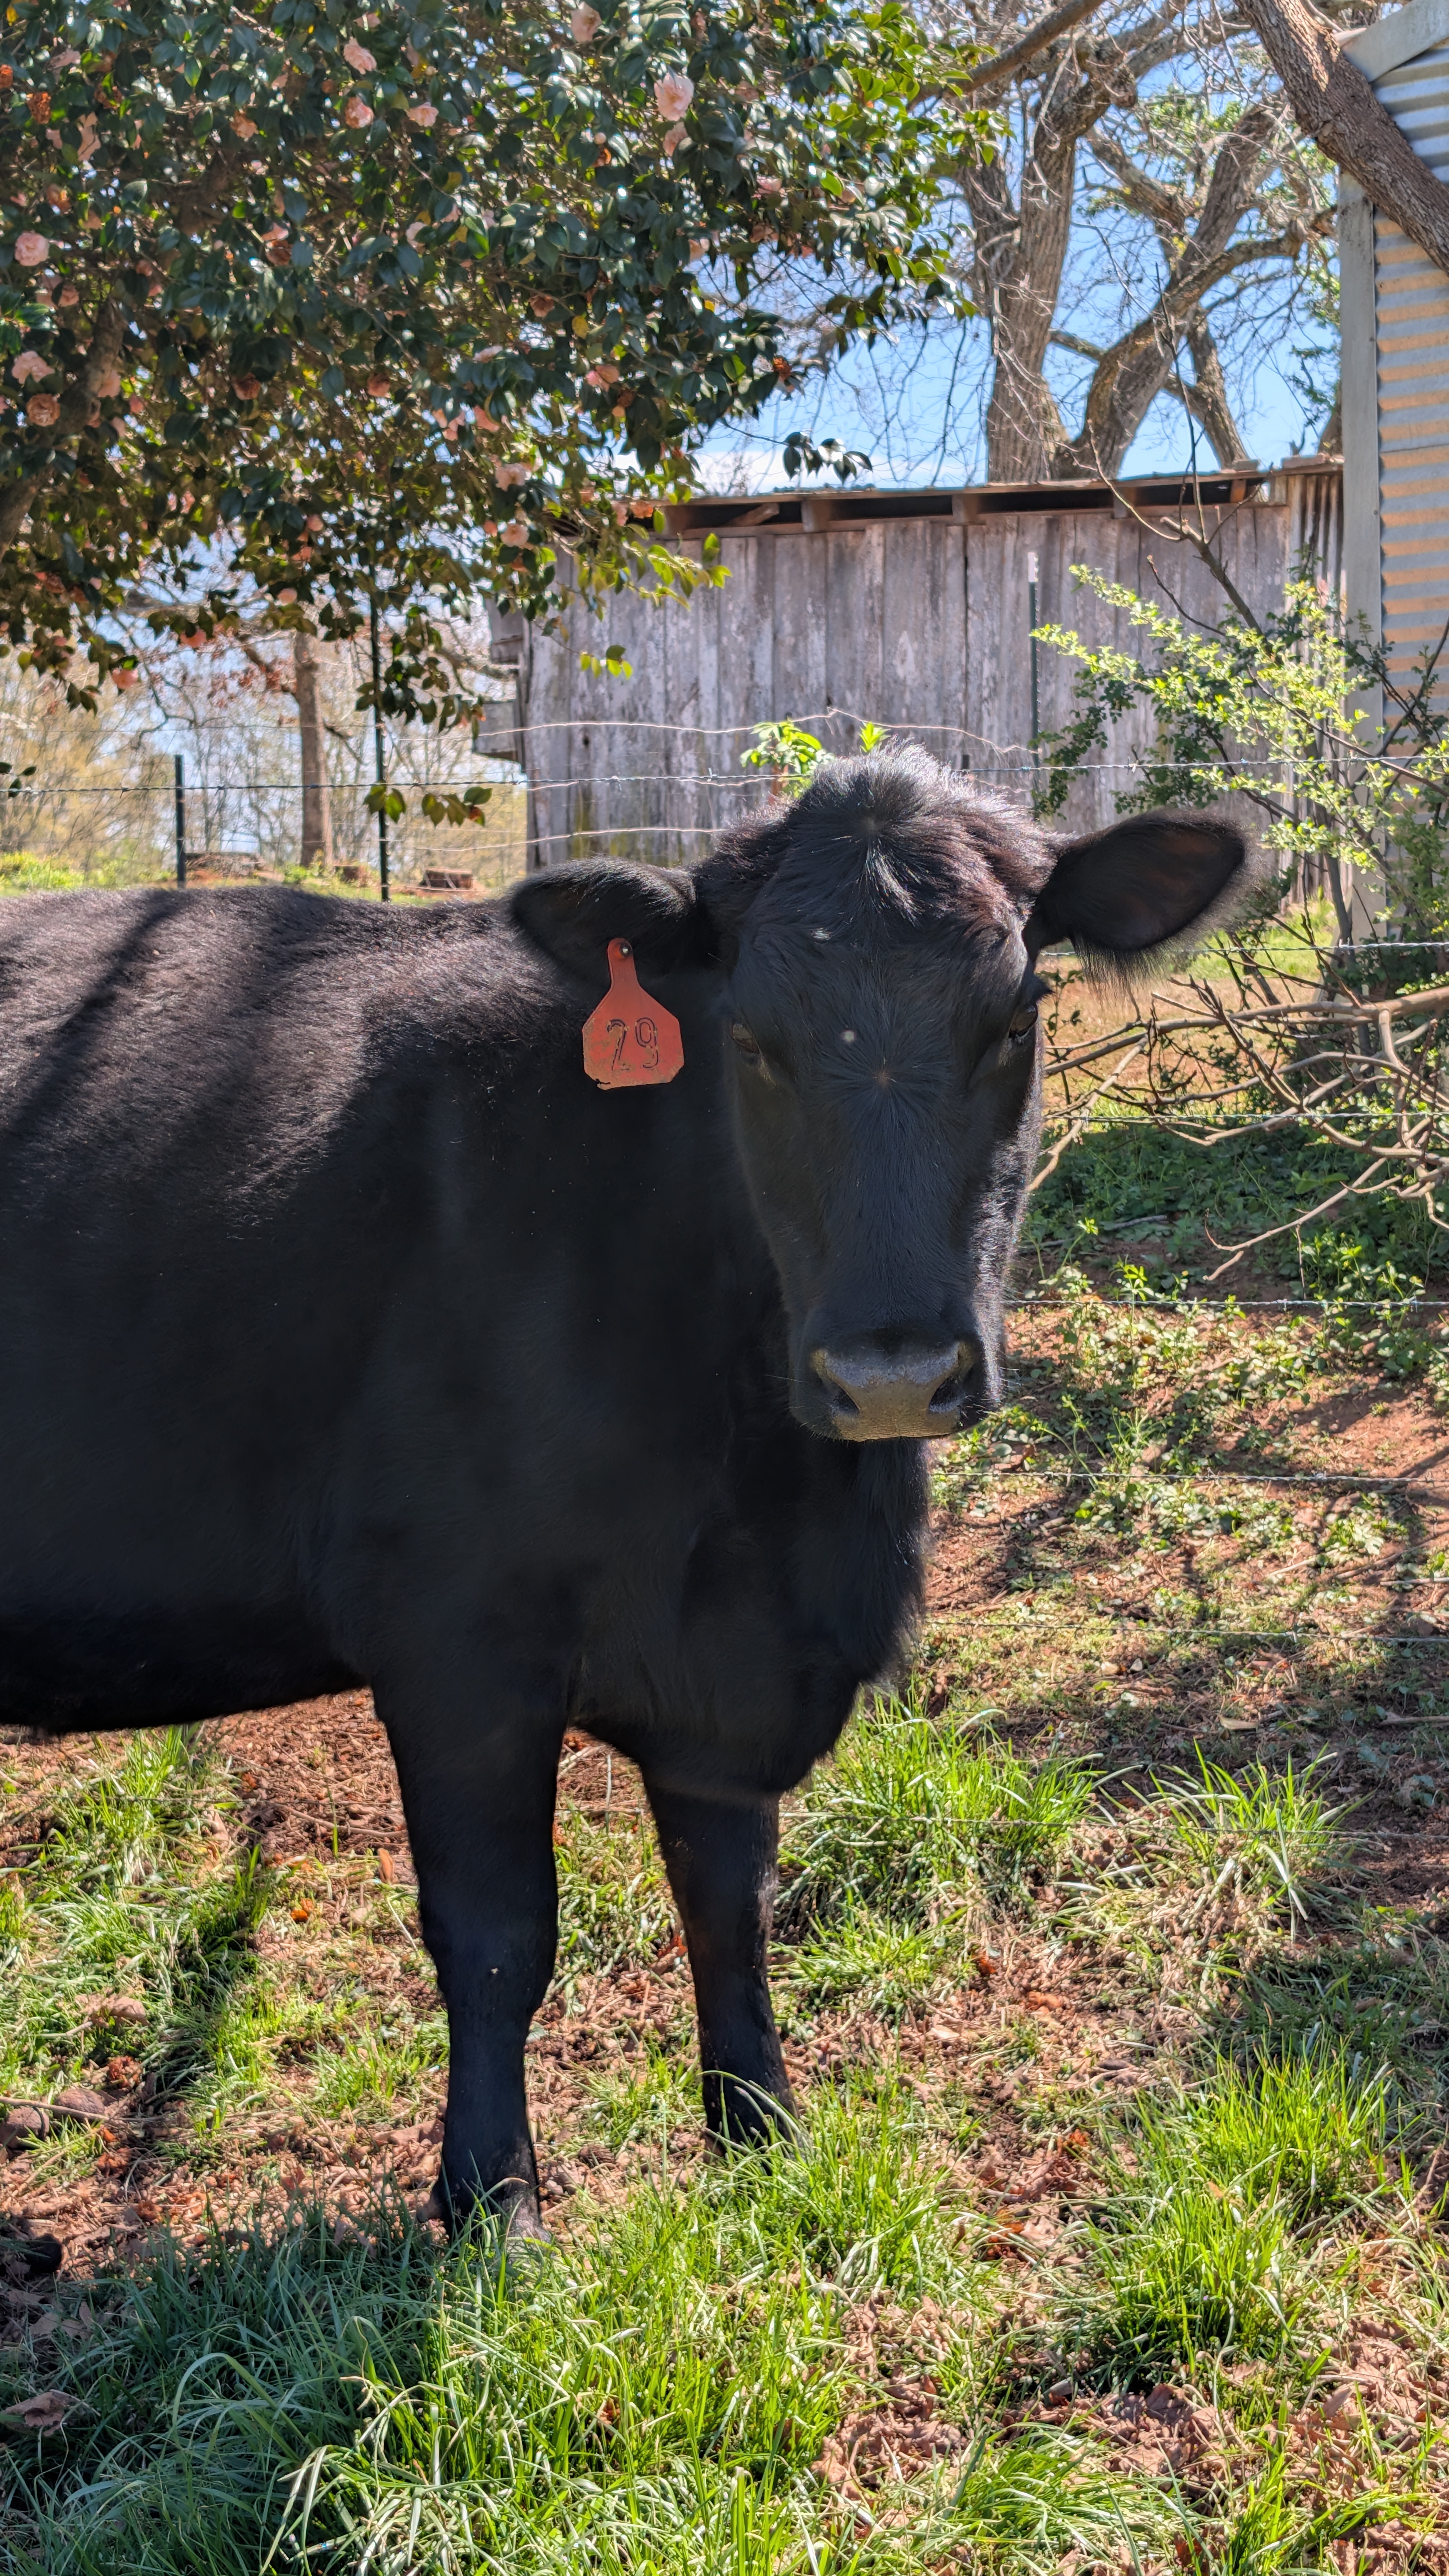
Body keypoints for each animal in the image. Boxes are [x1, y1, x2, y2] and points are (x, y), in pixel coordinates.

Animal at [0, 750, 1259, 2234]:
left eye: (1017, 1018)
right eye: (751, 1036)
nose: (891, 1369)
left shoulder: (731, 1664)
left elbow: (728, 1896)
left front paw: (761, 2129)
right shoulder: (456, 1634)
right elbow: (494, 1933)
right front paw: (493, 2199)